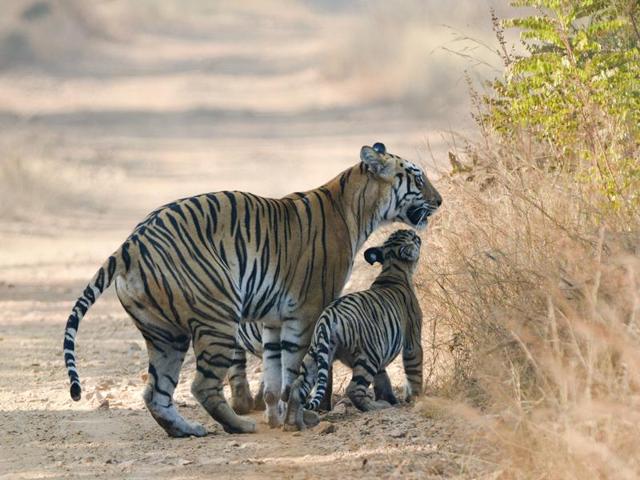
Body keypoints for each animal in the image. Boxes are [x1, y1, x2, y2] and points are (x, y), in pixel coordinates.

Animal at [62, 142, 440, 436]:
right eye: (418, 178)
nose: (439, 201)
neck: (357, 207)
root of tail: (131, 242)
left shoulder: (273, 320)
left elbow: (274, 379)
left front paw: (277, 417)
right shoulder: (308, 312)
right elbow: (297, 375)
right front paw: (299, 419)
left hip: (165, 334)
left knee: (156, 393)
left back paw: (187, 430)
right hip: (217, 318)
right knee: (202, 385)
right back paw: (239, 425)